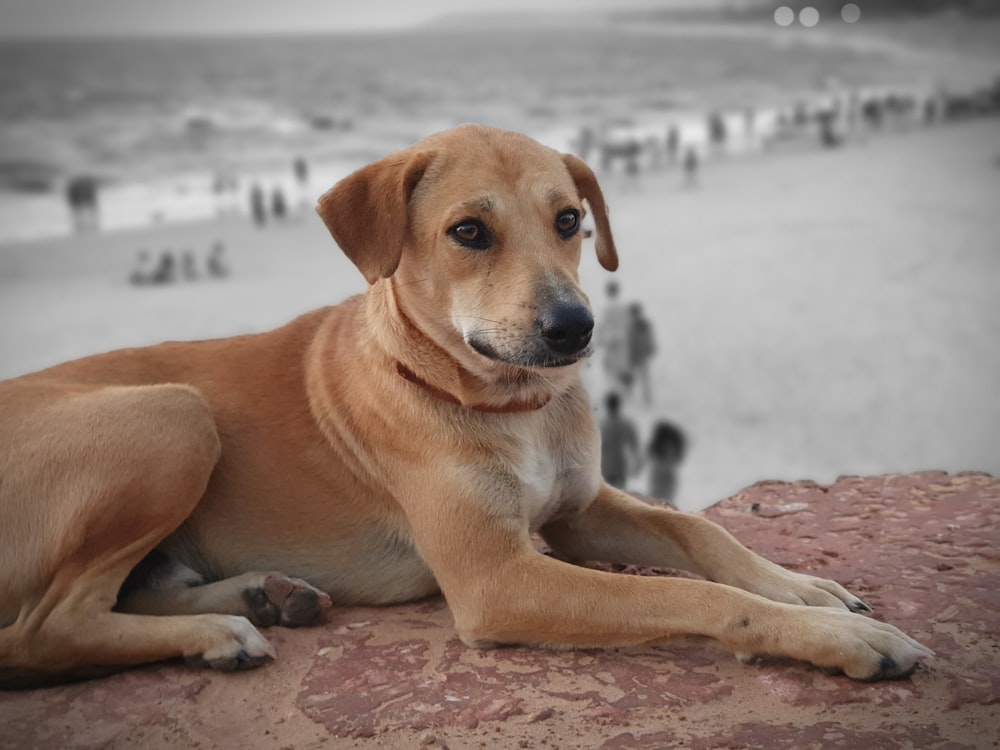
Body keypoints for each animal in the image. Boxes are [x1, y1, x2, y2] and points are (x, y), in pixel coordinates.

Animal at [0, 125, 928, 692]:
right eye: (469, 232)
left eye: (570, 220)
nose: (576, 327)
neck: (511, 407)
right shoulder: (498, 579)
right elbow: (692, 600)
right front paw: (840, 641)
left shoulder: (580, 510)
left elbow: (703, 535)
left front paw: (805, 589)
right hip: (174, 415)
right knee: (41, 631)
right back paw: (220, 630)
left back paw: (260, 598)